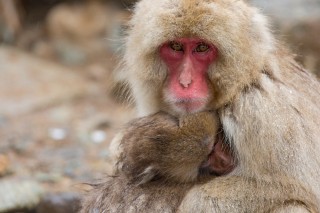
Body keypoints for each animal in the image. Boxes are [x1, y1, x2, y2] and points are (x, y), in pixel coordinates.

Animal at [83, 0, 320, 211]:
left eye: (202, 48)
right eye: (176, 47)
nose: (185, 82)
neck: (240, 83)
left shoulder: (260, 112)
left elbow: (293, 189)